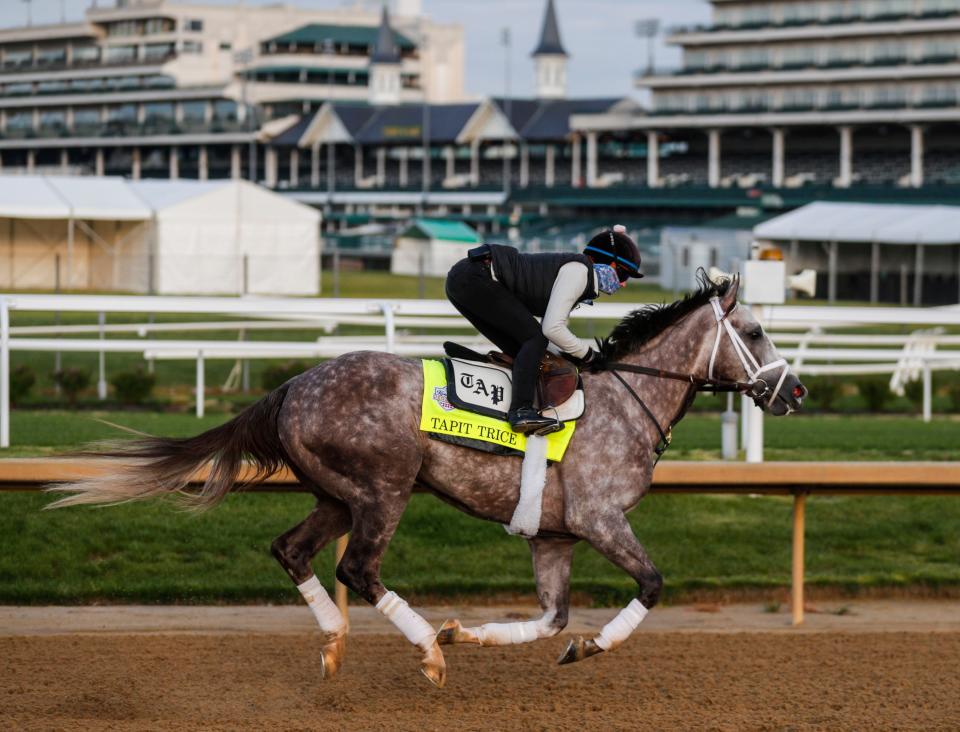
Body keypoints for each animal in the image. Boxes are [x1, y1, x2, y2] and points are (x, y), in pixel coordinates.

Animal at [50, 274, 804, 688]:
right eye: (755, 332)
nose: (794, 391)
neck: (626, 397)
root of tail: (294, 384)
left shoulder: (554, 536)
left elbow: (551, 617)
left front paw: (468, 633)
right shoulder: (599, 520)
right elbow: (649, 585)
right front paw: (588, 646)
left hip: (338, 495)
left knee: (292, 551)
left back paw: (337, 646)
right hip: (385, 489)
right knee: (357, 568)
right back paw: (422, 654)